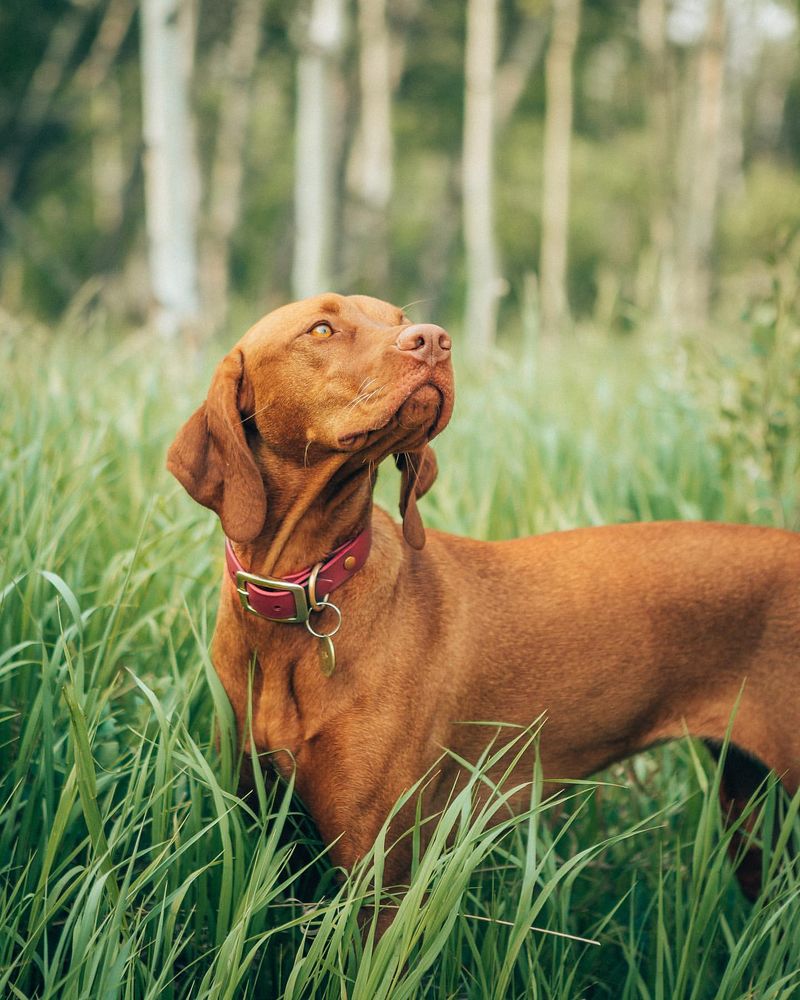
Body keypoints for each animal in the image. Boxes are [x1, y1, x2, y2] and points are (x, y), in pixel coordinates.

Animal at [167, 294, 800, 900]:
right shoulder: (269, 831)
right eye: (321, 329)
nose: (433, 340)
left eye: (398, 317)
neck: (298, 598)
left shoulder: (380, 869)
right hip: (751, 811)